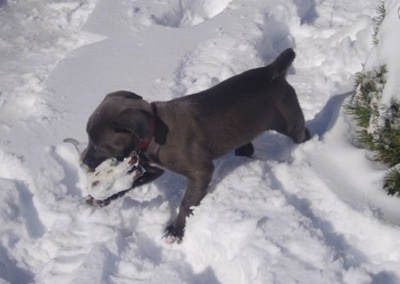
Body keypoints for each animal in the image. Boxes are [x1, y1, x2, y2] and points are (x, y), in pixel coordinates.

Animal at [83, 48, 310, 242]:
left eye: (99, 144)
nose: (83, 161)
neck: (154, 131)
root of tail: (272, 71)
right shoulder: (154, 169)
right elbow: (127, 185)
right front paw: (101, 199)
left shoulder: (200, 171)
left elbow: (186, 204)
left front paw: (175, 231)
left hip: (289, 123)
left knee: (303, 133)